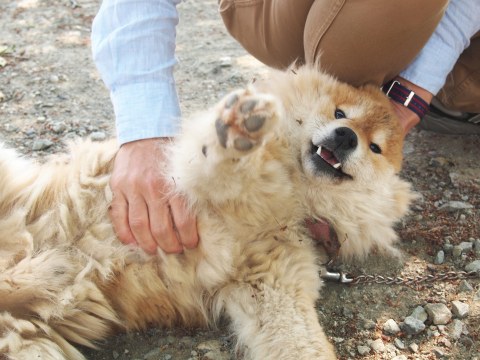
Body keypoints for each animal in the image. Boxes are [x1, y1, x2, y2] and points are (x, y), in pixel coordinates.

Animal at [0, 66, 412, 358]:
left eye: (375, 148)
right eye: (340, 112)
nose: (346, 136)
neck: (293, 198)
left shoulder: (273, 287)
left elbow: (300, 342)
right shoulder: (184, 186)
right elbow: (222, 168)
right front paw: (241, 132)